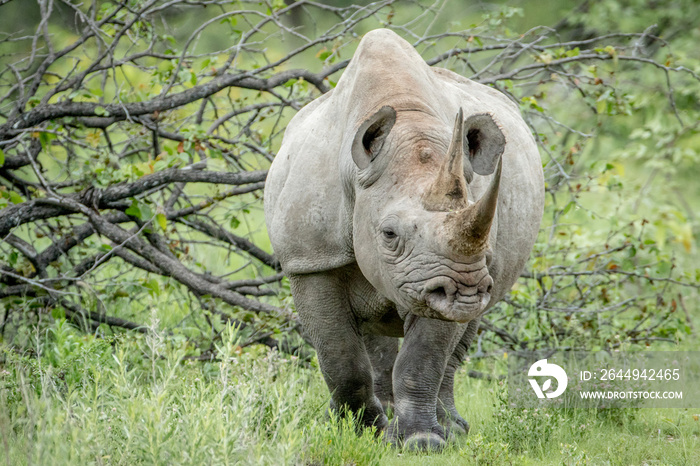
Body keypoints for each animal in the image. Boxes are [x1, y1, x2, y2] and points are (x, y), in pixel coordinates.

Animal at [266, 29, 544, 452]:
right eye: (389, 234)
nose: (465, 293)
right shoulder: (311, 260)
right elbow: (340, 356)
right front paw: (360, 431)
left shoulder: (448, 274)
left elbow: (423, 357)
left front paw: (421, 441)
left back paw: (451, 428)